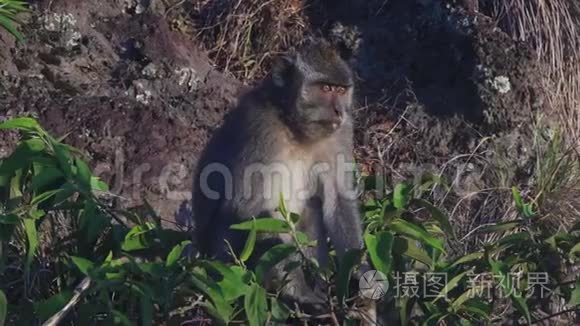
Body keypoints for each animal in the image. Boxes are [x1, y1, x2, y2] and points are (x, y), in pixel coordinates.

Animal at [193, 38, 364, 308]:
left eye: (341, 90)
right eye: (326, 88)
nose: (339, 111)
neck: (294, 126)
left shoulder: (342, 132)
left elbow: (339, 199)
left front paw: (360, 274)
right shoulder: (261, 129)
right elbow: (247, 208)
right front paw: (299, 291)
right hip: (223, 257)